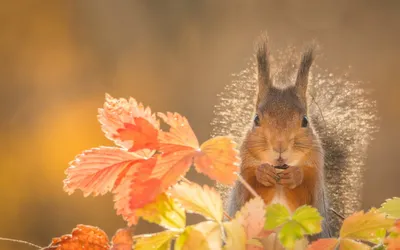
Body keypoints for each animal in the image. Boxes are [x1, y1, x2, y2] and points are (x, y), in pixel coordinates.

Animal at [212, 34, 378, 247]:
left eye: (305, 120)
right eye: (256, 119)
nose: (280, 146)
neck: (279, 172)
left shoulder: (315, 179)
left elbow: (306, 201)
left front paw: (295, 176)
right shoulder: (243, 177)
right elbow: (249, 198)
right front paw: (263, 173)